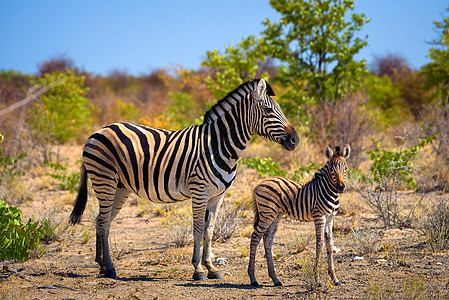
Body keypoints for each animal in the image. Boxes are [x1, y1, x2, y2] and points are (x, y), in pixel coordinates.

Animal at [248, 144, 350, 288]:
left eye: (345, 168)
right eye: (331, 169)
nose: (341, 187)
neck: (328, 191)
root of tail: (259, 184)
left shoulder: (330, 218)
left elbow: (330, 245)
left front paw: (335, 279)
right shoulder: (319, 216)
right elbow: (319, 245)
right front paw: (317, 280)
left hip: (276, 215)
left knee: (267, 239)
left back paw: (275, 279)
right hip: (267, 214)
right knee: (255, 237)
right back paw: (253, 278)